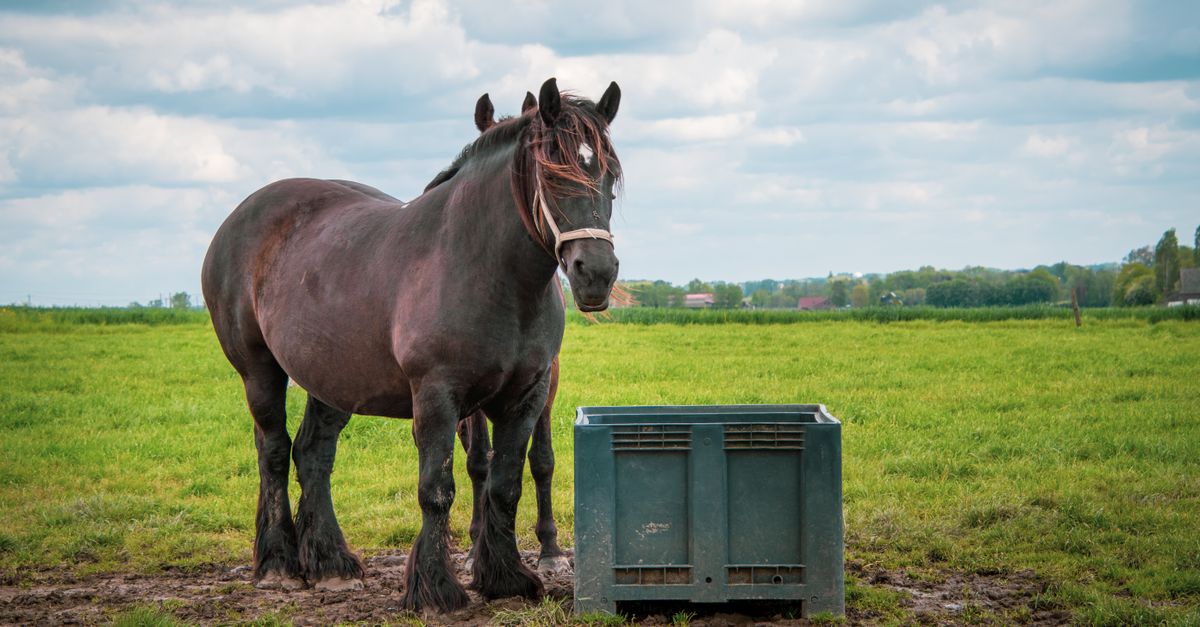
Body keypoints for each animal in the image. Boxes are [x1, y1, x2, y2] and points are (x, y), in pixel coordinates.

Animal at [201, 77, 622, 612]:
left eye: (609, 176)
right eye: (553, 173)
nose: (597, 273)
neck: (487, 271)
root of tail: (240, 217)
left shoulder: (526, 396)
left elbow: (505, 485)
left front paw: (506, 578)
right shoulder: (437, 396)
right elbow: (436, 490)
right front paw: (436, 588)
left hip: (332, 381)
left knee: (313, 454)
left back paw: (331, 564)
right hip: (259, 371)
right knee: (273, 451)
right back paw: (279, 565)